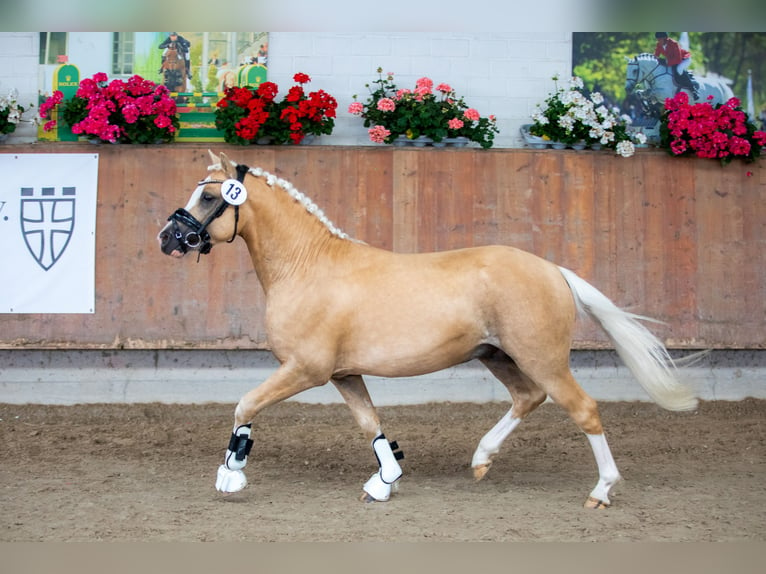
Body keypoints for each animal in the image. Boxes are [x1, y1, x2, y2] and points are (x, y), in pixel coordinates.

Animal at [159, 152, 700, 508]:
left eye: (209, 195)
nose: (168, 237)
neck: (308, 266)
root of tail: (554, 270)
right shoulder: (343, 375)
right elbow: (370, 425)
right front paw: (385, 480)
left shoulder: (305, 370)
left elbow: (245, 405)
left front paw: (231, 475)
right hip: (497, 355)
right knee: (528, 398)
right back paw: (482, 459)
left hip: (542, 357)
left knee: (583, 410)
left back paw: (601, 491)